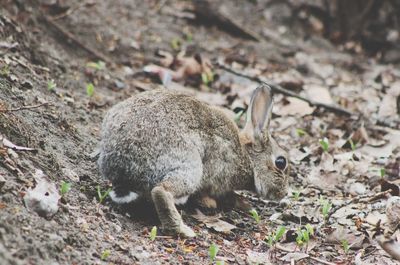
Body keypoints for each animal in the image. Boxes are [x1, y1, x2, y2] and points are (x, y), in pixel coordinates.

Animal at [98, 83, 290, 236]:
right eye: (281, 162)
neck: (247, 157)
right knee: (161, 191)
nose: (284, 193)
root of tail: (122, 168)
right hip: (190, 166)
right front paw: (214, 203)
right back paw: (183, 230)